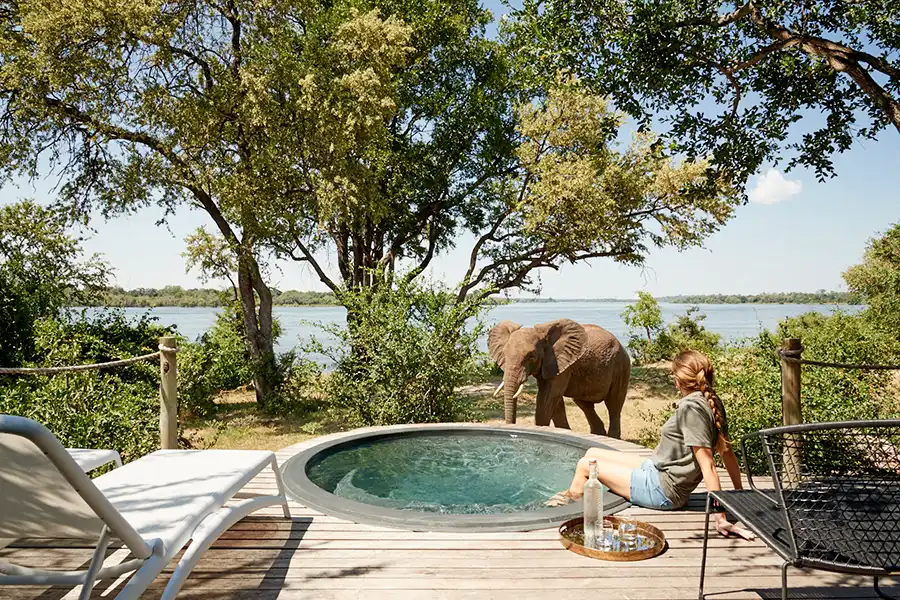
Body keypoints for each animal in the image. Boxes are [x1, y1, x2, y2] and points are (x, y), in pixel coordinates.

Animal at [488, 316, 628, 438]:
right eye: (504, 353)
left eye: (531, 356)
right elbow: (555, 401)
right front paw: (564, 430)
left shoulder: (560, 363)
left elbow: (548, 397)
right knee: (585, 405)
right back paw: (598, 434)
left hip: (620, 366)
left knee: (614, 404)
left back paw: (613, 437)